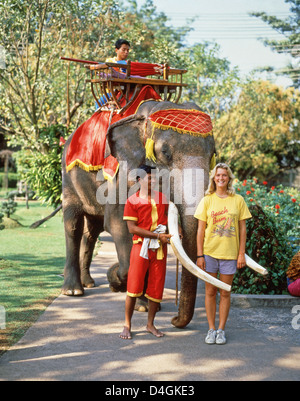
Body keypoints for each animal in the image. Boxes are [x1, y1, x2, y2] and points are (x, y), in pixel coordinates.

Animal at [61, 100, 216, 328]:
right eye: (165, 153)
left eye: (213, 154)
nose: (174, 320)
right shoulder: (120, 177)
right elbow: (117, 225)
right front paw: (118, 280)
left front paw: (146, 304)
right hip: (68, 177)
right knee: (73, 224)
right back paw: (73, 291)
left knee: (92, 231)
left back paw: (89, 283)